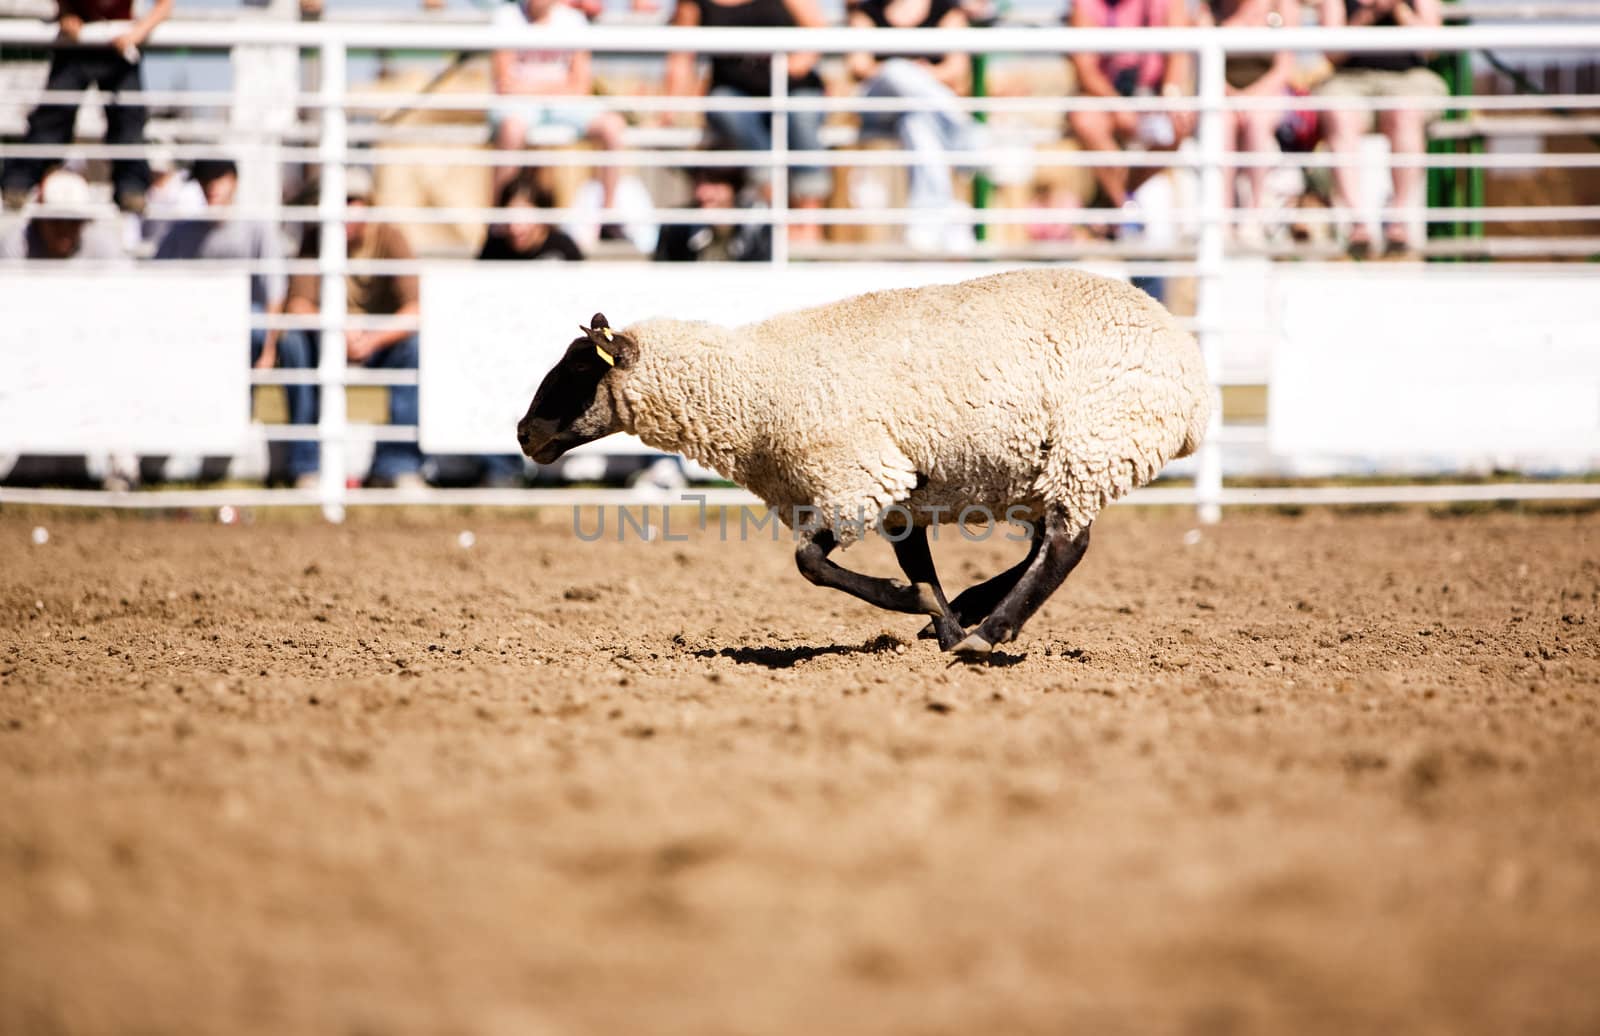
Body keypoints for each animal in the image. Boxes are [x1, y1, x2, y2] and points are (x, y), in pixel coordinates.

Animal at [518, 266, 1203, 655]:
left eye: (578, 370)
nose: (524, 434)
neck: (751, 387)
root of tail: (1191, 374)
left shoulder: (857, 477)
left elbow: (810, 564)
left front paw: (919, 610)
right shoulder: (895, 487)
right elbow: (918, 565)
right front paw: (939, 622)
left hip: (1096, 440)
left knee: (1066, 545)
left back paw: (989, 635)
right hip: (1051, 463)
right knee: (1045, 543)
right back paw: (974, 614)